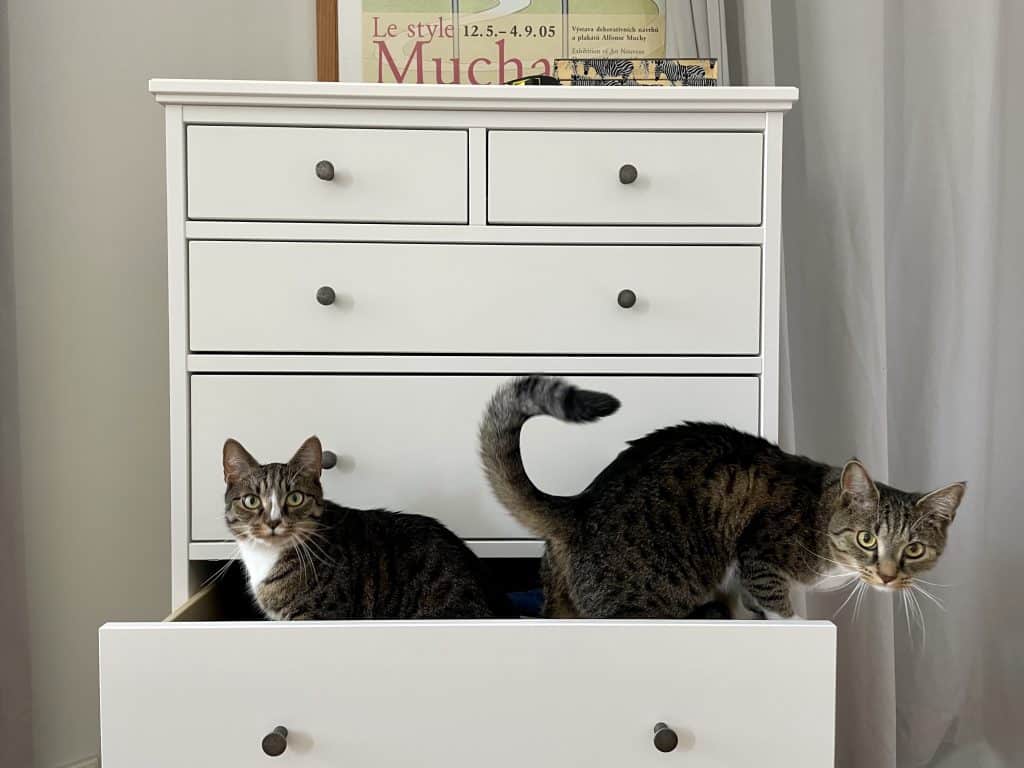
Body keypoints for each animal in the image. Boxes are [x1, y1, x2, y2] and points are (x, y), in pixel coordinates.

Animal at [479, 376, 966, 622]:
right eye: (868, 539)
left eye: (914, 549)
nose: (886, 576)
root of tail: (578, 506)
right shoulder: (762, 556)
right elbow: (775, 604)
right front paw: (796, 623)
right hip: (644, 599)